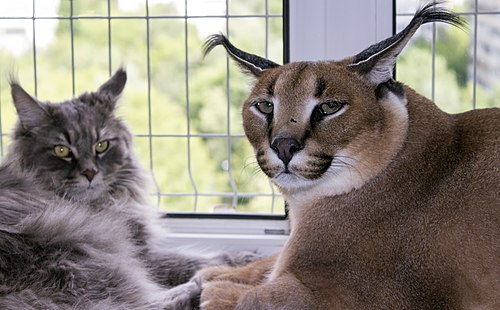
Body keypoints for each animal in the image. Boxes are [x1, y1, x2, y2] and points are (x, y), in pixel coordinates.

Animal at [0, 69, 256, 308]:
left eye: (102, 146)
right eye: (61, 150)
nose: (90, 173)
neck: (105, 201)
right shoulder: (140, 254)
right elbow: (189, 259)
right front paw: (242, 259)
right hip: (82, 254)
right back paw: (202, 286)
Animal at [199, 3, 500, 310]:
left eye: (330, 107)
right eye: (265, 106)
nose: (283, 145)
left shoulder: (379, 297)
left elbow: (261, 294)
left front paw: (220, 290)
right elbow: (271, 261)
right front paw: (219, 272)